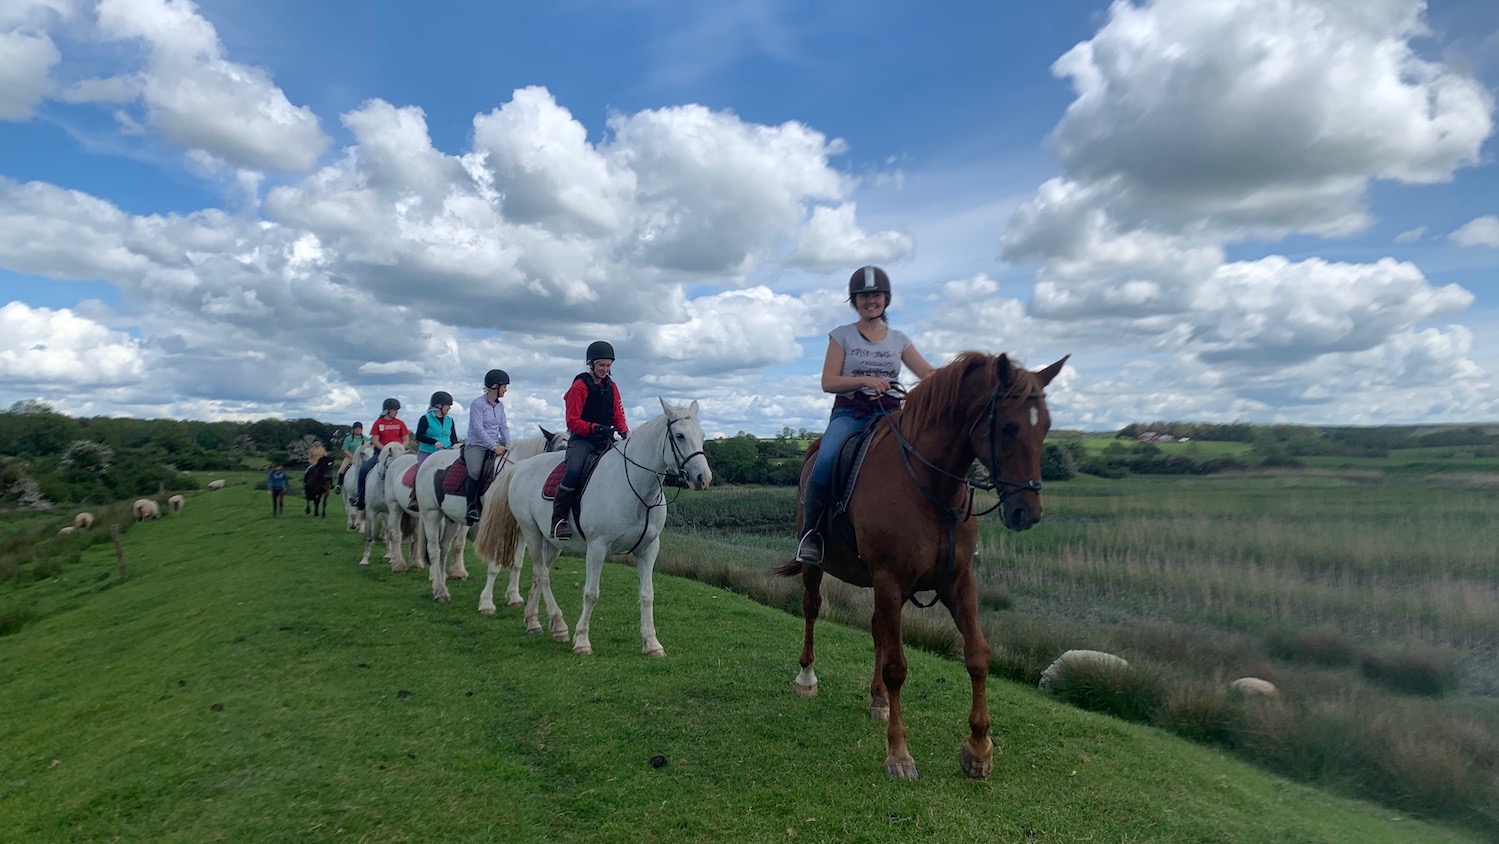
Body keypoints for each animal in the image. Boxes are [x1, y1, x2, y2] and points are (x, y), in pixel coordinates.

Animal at [416, 428, 566, 608]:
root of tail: (429, 460)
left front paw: (514, 596)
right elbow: (494, 566)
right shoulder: (497, 527)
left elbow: (518, 562)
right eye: (559, 450)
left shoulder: (523, 528)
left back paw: (440, 582)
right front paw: (487, 602)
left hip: (452, 519)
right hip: (431, 514)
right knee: (433, 550)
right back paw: (440, 591)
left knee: (443, 548)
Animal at [479, 398, 713, 656]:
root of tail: (520, 467)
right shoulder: (597, 548)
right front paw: (582, 640)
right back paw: (559, 625)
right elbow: (591, 594)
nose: (703, 478)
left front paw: (652, 643)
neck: (636, 488)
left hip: (552, 543)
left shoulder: (648, 550)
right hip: (531, 533)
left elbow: (647, 595)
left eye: (702, 435)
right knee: (542, 574)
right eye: (680, 435)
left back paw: (534, 622)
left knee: (539, 575)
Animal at [773, 350, 1067, 779]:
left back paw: (878, 700)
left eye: (1045, 426)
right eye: (1008, 427)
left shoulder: (957, 582)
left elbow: (978, 656)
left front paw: (978, 748)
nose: (1026, 513)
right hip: (817, 566)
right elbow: (897, 667)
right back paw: (806, 677)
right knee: (812, 609)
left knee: (877, 629)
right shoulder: (890, 580)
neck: (931, 487)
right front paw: (898, 754)